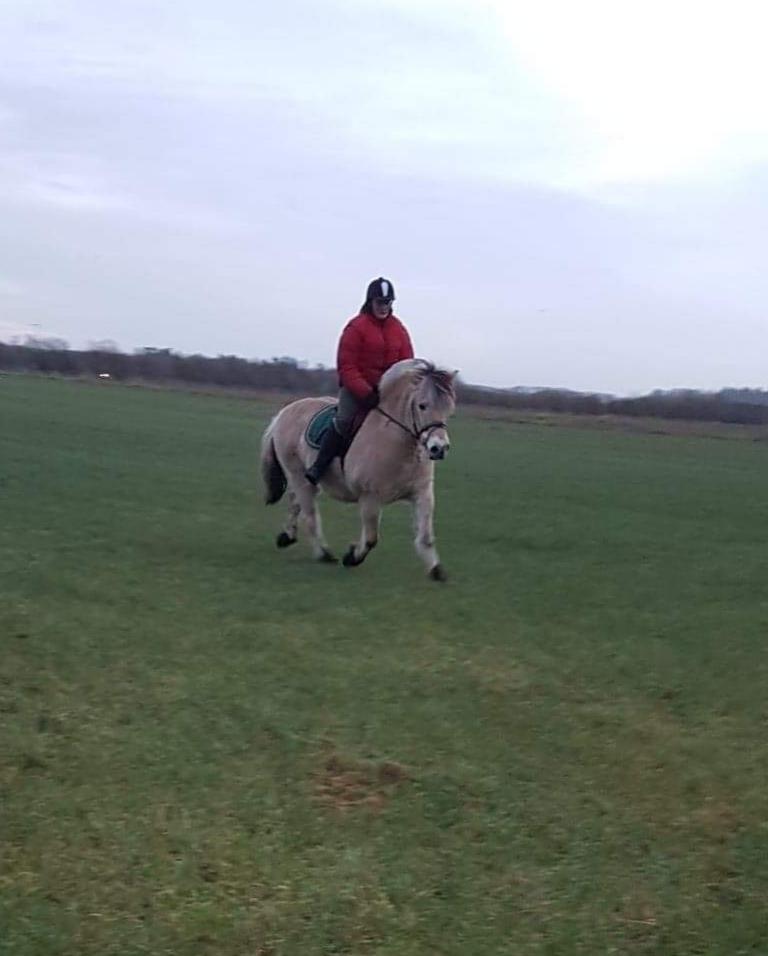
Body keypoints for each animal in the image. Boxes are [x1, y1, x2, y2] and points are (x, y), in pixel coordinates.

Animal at [260, 360, 460, 580]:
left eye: (449, 408)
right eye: (422, 405)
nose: (439, 448)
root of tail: (285, 412)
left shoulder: (422, 494)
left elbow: (425, 536)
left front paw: (436, 570)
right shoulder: (370, 497)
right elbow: (372, 538)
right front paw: (352, 557)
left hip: (307, 480)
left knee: (296, 503)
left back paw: (287, 536)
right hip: (298, 475)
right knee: (309, 514)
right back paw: (323, 553)